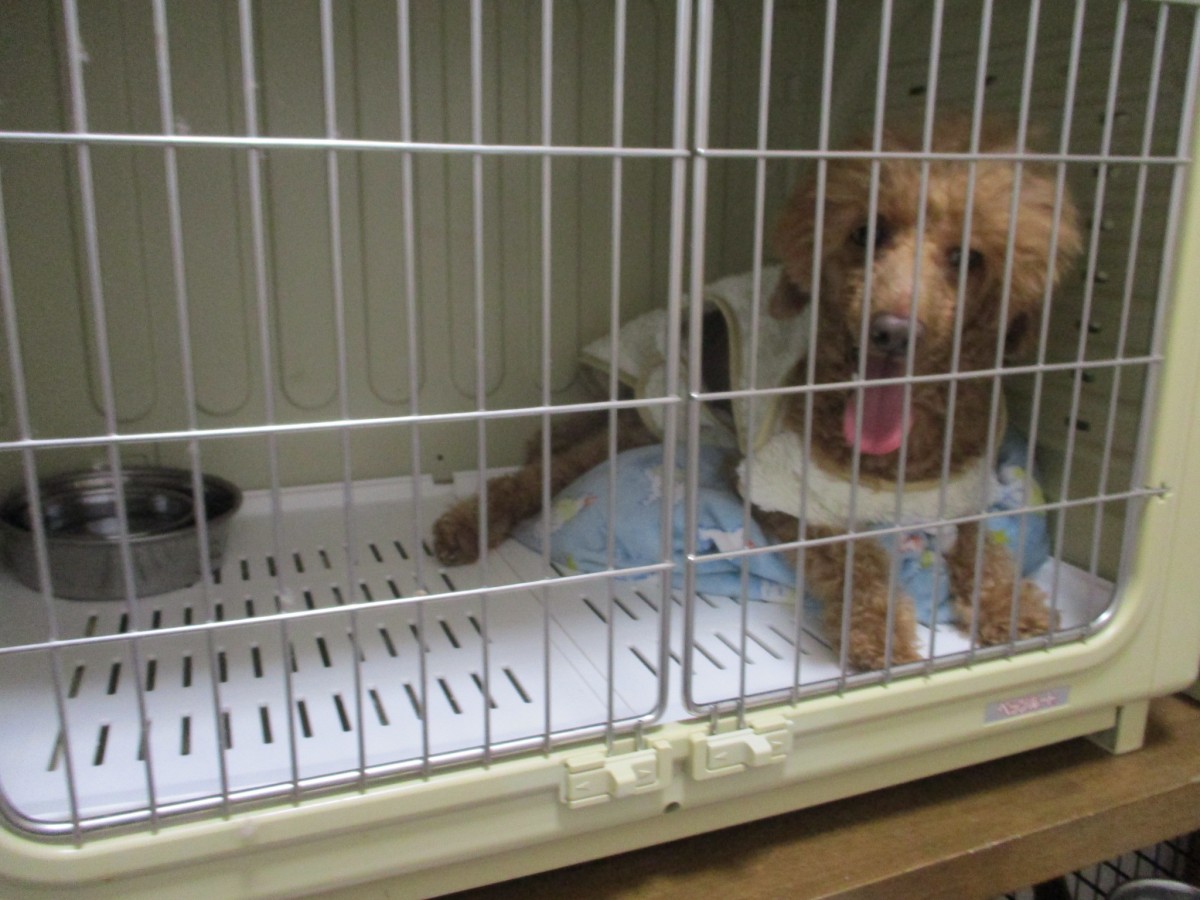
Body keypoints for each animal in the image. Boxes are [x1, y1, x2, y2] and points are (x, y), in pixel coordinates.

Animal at [432, 119, 1081, 672]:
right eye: (866, 234)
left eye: (966, 257)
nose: (892, 331)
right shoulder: (785, 496)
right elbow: (860, 560)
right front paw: (879, 637)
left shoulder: (962, 493)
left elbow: (988, 551)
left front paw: (1017, 612)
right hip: (659, 414)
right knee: (543, 469)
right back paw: (467, 526)